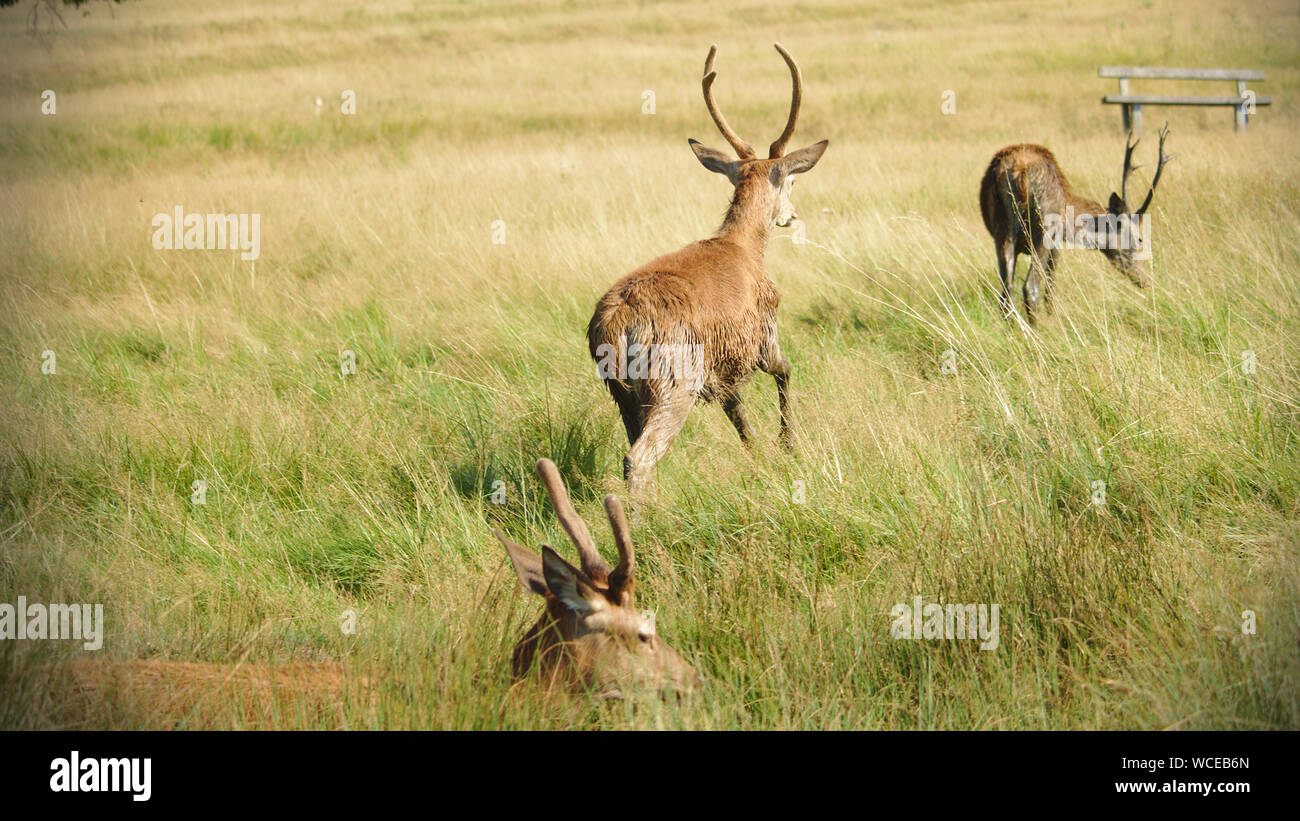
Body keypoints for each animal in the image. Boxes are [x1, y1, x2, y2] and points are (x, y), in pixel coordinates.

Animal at [587, 44, 829, 493]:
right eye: (792, 181)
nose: (792, 215)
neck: (745, 248)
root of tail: (615, 323)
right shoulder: (764, 332)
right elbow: (786, 371)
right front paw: (788, 444)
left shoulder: (722, 370)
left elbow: (739, 415)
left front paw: (758, 455)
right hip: (674, 378)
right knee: (639, 457)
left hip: (622, 392)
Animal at [979, 124, 1174, 323]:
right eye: (1139, 239)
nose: (1147, 280)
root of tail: (1019, 171)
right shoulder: (1056, 243)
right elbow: (1050, 285)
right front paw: (1054, 317)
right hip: (1044, 229)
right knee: (1030, 288)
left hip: (1002, 230)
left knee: (1005, 294)